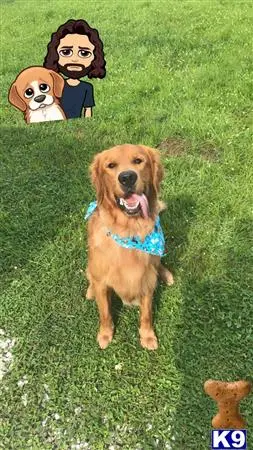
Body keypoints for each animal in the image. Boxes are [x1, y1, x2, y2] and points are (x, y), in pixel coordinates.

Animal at [86, 144, 173, 352]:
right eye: (111, 165)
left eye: (138, 161)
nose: (127, 177)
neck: (129, 232)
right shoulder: (102, 282)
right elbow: (105, 312)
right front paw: (105, 334)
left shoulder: (146, 279)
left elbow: (147, 313)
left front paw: (147, 336)